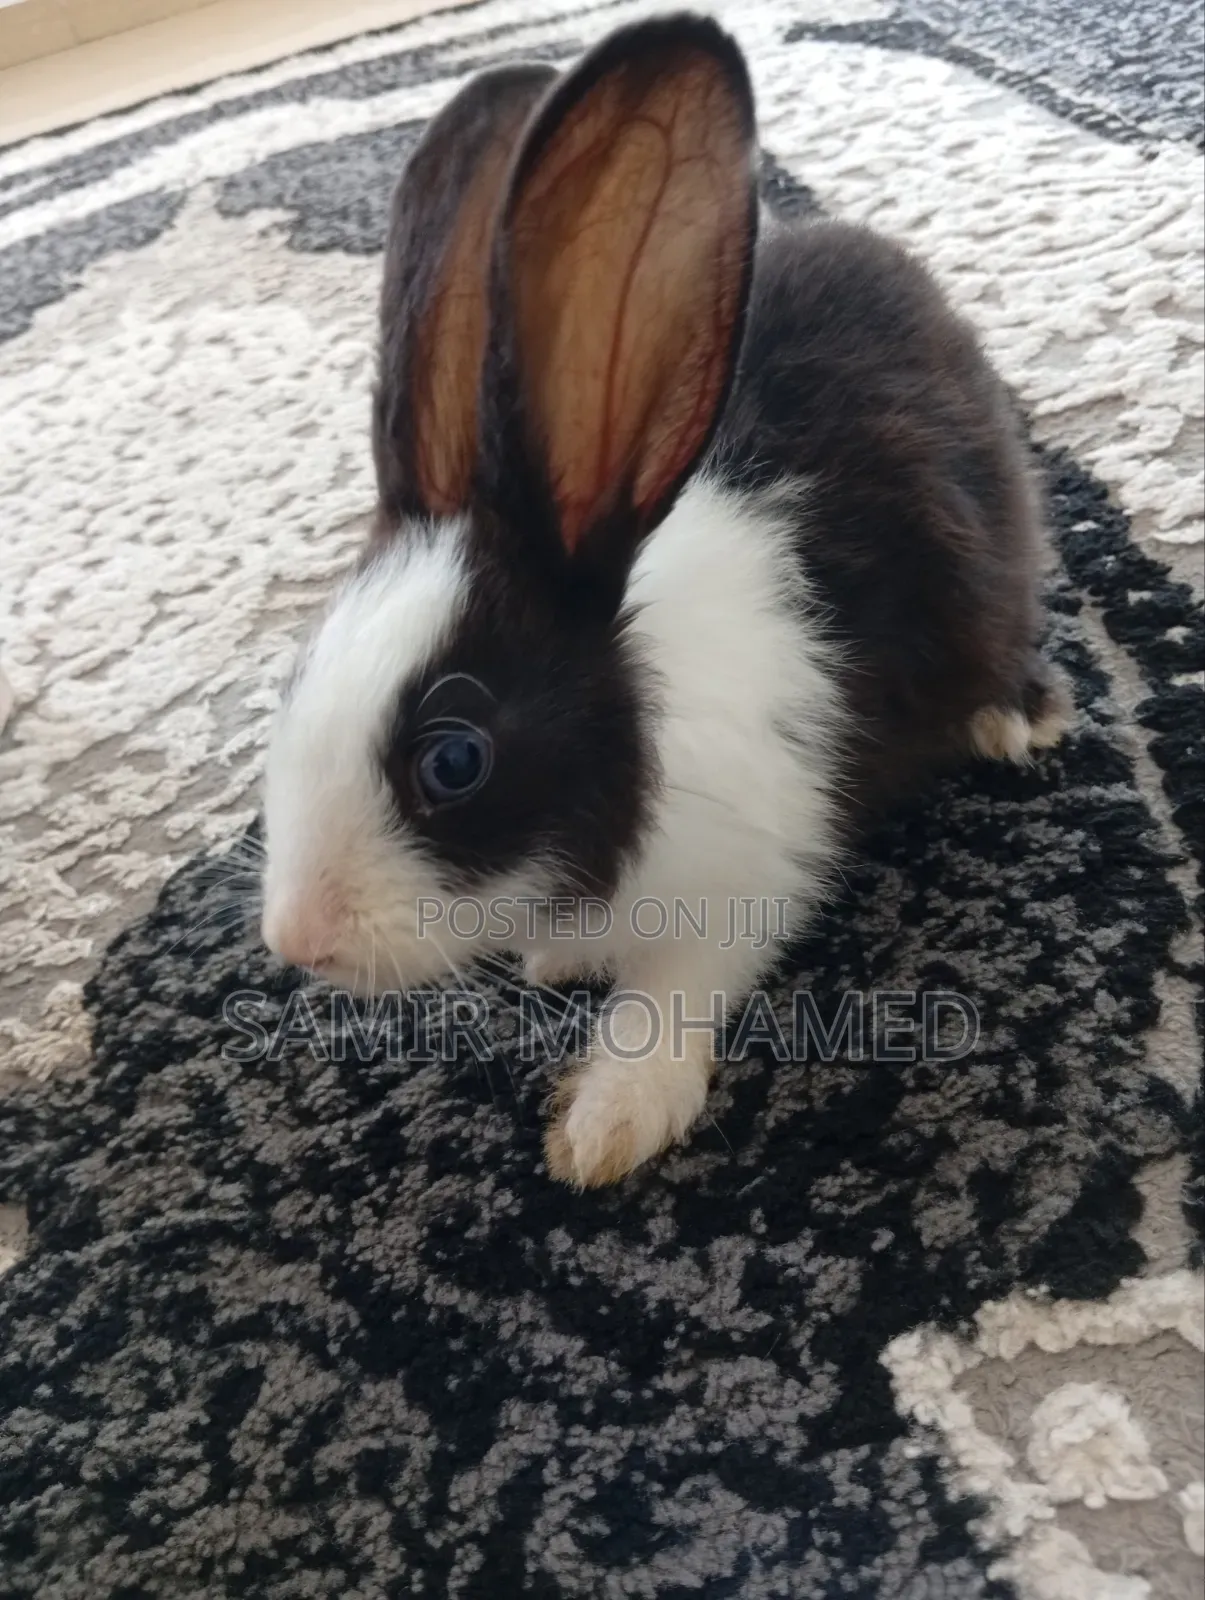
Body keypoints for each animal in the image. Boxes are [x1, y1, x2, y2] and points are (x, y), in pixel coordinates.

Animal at [260, 14, 1070, 1188]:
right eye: (293, 683)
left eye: (453, 760)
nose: (295, 940)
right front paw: (553, 965)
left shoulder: (743, 881)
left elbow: (670, 994)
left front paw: (605, 1125)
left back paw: (1016, 717)